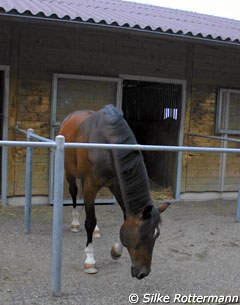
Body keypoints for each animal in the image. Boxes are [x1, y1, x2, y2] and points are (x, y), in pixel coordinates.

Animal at [59, 104, 169, 278]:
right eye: (142, 236)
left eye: (156, 235)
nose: (143, 273)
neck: (107, 143)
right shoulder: (91, 185)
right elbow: (90, 222)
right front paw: (90, 261)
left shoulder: (116, 186)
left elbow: (124, 218)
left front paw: (116, 251)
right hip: (70, 172)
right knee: (74, 193)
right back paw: (75, 223)